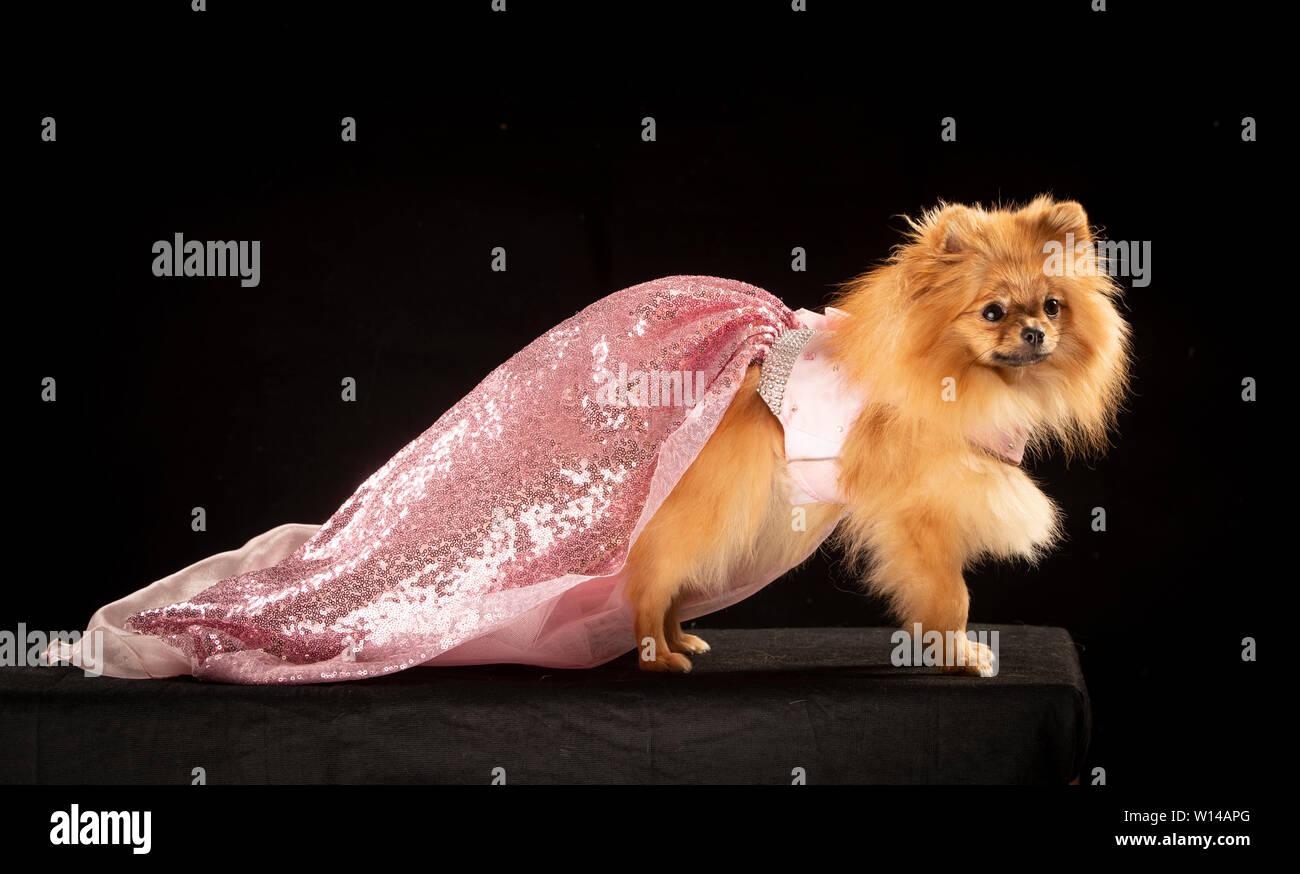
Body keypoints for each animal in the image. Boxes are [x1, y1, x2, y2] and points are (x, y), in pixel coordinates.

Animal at [626, 196, 1128, 676]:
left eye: (1052, 306)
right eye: (992, 312)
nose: (1036, 332)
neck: (961, 381)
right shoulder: (921, 518)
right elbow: (953, 597)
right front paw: (958, 656)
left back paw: (678, 640)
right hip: (713, 510)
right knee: (652, 580)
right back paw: (658, 656)